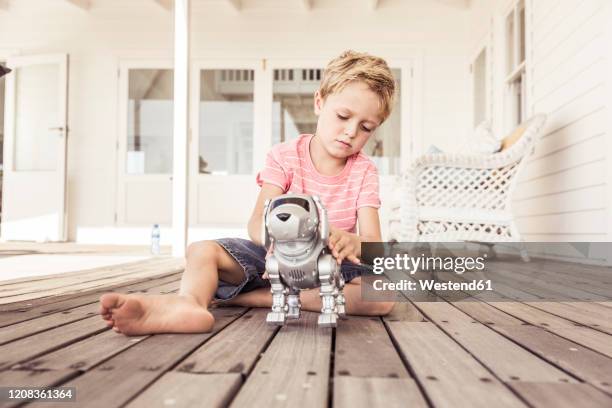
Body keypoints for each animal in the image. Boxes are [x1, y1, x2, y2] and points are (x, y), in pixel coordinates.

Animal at [262, 193, 346, 326]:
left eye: (305, 204)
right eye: (273, 206)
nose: (283, 216)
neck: (294, 253)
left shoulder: (326, 266)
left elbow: (327, 290)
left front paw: (328, 318)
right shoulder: (273, 266)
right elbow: (278, 290)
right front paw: (276, 316)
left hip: (337, 275)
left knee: (338, 289)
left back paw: (341, 311)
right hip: (293, 284)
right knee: (292, 293)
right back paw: (293, 313)